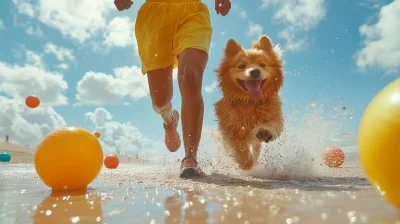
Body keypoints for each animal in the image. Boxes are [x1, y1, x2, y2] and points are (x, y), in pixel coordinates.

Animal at [216, 36, 284, 171]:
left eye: (262, 65)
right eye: (241, 66)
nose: (255, 71)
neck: (250, 102)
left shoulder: (274, 115)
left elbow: (271, 124)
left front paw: (265, 131)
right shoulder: (230, 128)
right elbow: (239, 146)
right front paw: (246, 163)